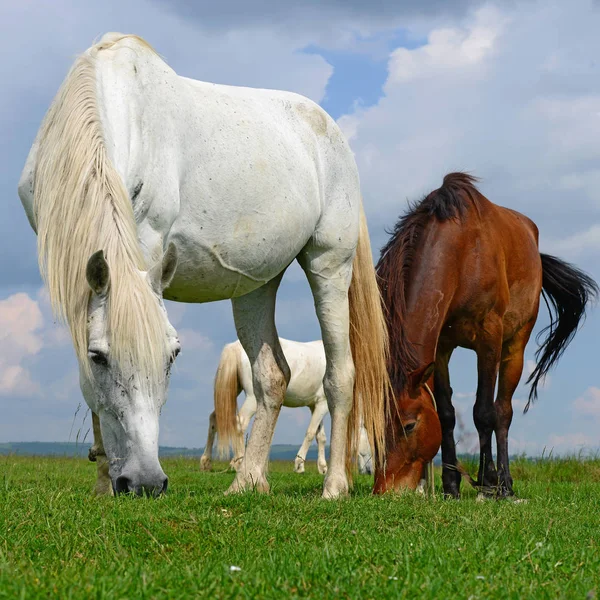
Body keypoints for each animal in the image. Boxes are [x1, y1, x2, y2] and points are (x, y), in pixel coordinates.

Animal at [202, 338, 376, 474]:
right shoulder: (323, 404)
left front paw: (322, 468)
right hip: (252, 398)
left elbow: (320, 437)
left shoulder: (314, 406)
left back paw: (206, 462)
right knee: (240, 422)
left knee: (214, 420)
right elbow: (310, 433)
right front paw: (299, 465)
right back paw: (239, 462)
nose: (369, 471)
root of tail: (235, 347)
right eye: (372, 445)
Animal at [376, 172, 596, 496]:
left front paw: (490, 481)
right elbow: (447, 413)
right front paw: (451, 485)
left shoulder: (488, 340)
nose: (385, 490)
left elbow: (483, 412)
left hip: (513, 348)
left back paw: (503, 483)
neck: (463, 254)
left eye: (409, 425)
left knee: (502, 411)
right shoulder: (441, 349)